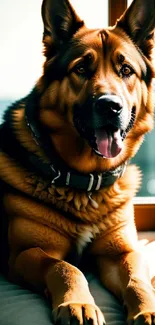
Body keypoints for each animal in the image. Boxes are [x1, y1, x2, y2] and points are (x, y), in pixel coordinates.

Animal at [0, 0, 155, 322]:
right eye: (81, 68)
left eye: (126, 70)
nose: (110, 107)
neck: (86, 183)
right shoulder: (25, 253)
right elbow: (65, 267)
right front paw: (79, 304)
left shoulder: (121, 253)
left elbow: (138, 279)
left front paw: (148, 309)